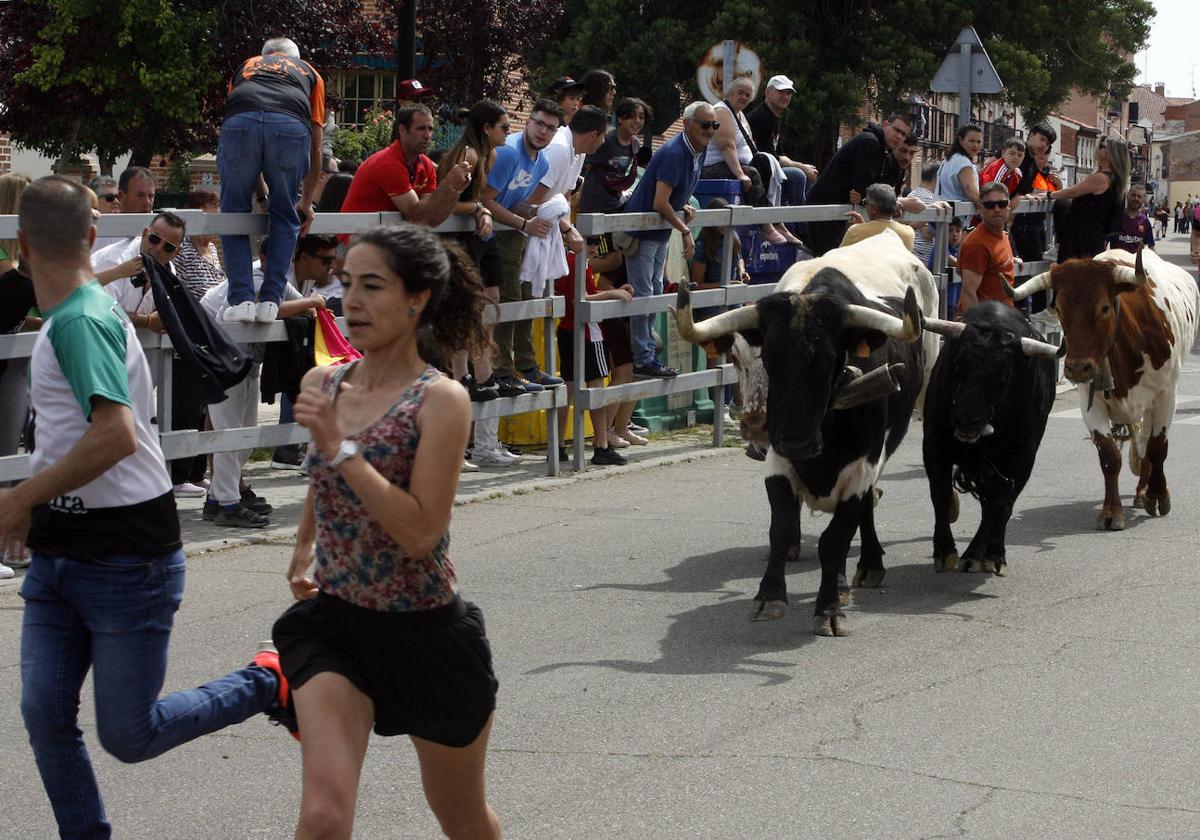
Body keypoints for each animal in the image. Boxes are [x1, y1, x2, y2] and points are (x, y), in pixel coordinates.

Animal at [916, 303, 1060, 578]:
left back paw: (976, 555)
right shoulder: (934, 445)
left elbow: (1001, 505)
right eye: (958, 368)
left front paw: (993, 556)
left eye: (1002, 378)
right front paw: (944, 552)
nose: (966, 419)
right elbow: (940, 494)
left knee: (994, 508)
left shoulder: (1022, 456)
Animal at [1008, 246, 1195, 528]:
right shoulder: (1090, 401)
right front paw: (1111, 512)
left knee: (1145, 442)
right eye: (1059, 309)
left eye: (1104, 307)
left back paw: (1144, 492)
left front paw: (1158, 495)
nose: (1076, 368)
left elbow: (1157, 447)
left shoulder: (1165, 396)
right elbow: (1109, 457)